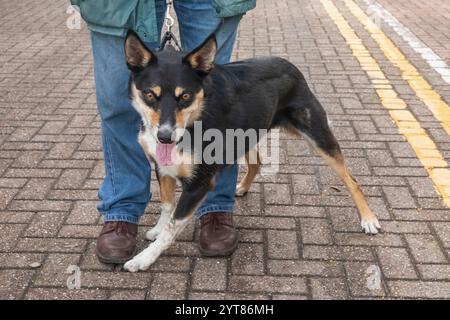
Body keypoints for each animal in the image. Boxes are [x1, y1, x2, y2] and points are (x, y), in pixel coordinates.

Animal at [120, 29, 380, 272]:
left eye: (185, 96)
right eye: (149, 94)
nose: (164, 137)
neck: (195, 118)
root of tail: (289, 65)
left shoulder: (198, 184)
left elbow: (172, 227)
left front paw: (144, 258)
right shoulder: (162, 168)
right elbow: (167, 206)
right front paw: (156, 229)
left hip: (318, 135)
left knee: (352, 180)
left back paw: (369, 219)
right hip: (245, 135)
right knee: (256, 162)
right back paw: (242, 187)